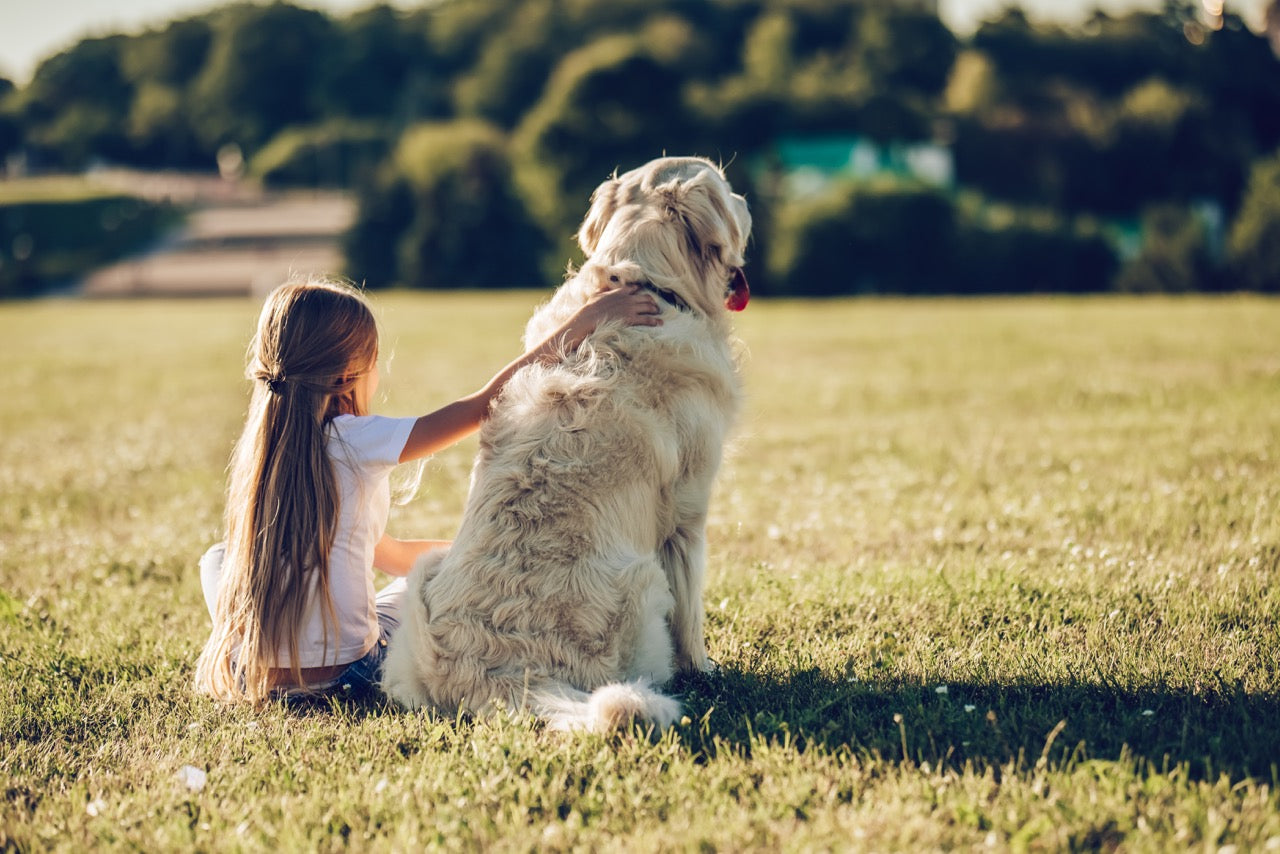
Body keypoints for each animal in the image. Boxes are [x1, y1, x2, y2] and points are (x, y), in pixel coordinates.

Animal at [384, 156, 752, 732]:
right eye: (728, 188)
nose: (747, 202)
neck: (648, 281)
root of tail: (498, 676)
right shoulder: (689, 511)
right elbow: (691, 610)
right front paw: (706, 669)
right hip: (644, 583)